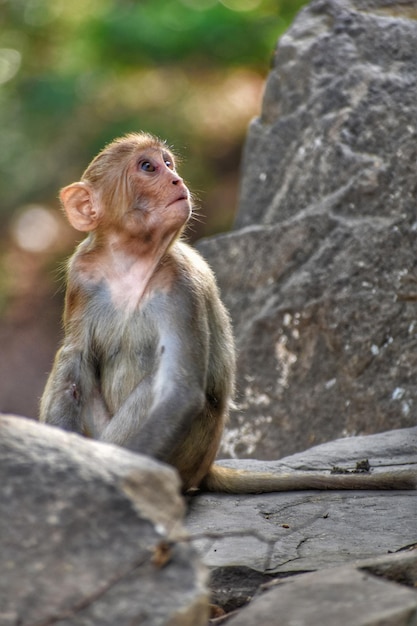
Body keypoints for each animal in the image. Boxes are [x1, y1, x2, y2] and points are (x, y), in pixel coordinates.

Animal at [38, 133, 412, 492]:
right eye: (148, 167)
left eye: (167, 163)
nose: (176, 179)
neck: (131, 262)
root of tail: (206, 468)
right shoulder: (82, 276)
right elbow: (75, 362)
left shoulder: (181, 285)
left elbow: (179, 392)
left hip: (190, 452)